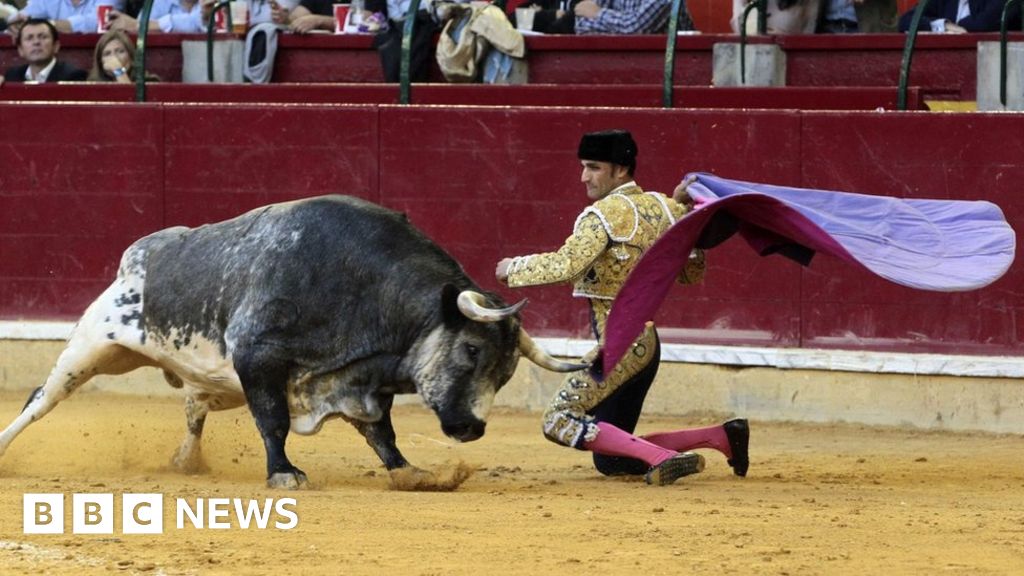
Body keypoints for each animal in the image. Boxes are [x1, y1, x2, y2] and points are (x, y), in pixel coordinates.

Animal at [0, 194, 585, 485]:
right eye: (471, 350)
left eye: (506, 374)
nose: (471, 428)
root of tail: (136, 256)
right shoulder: (259, 359)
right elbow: (274, 421)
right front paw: (284, 473)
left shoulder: (360, 380)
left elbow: (382, 432)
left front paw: (409, 472)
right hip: (92, 347)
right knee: (40, 400)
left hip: (213, 379)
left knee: (193, 407)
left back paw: (187, 461)